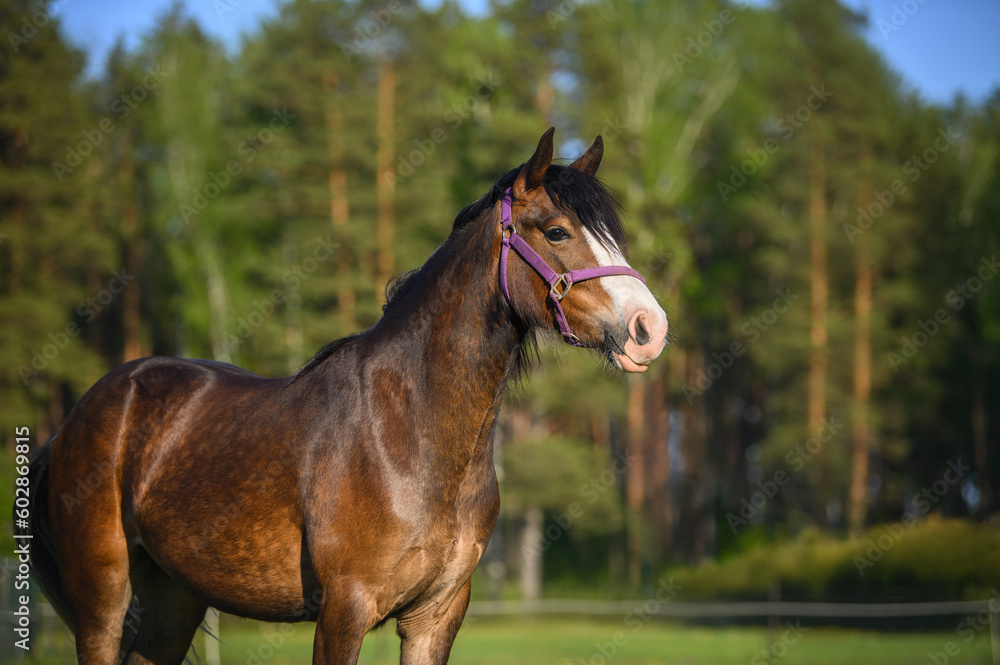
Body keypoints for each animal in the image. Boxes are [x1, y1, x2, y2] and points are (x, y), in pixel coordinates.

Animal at [25, 127, 668, 665]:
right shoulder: (344, 608)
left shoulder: (436, 616)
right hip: (104, 596)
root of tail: (80, 416)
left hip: (172, 599)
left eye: (614, 237)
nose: (650, 328)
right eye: (557, 231)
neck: (411, 433)